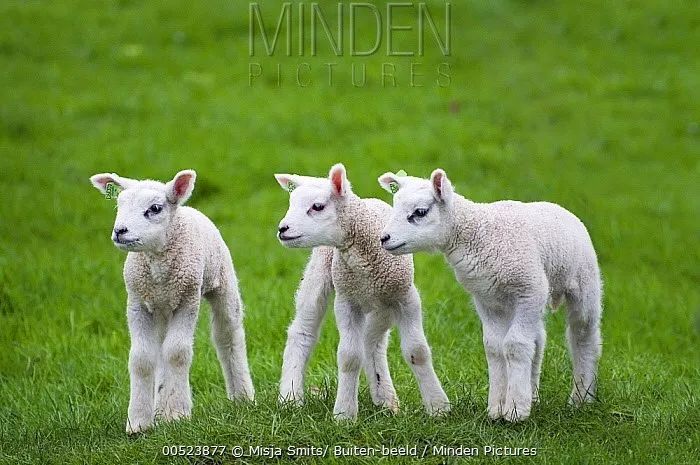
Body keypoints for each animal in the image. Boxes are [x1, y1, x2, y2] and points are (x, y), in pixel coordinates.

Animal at [89, 169, 254, 432]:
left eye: (155, 208)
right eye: (119, 204)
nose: (120, 231)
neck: (158, 267)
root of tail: (190, 209)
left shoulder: (187, 300)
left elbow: (177, 353)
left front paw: (177, 414)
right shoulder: (137, 304)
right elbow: (142, 358)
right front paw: (139, 422)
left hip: (221, 282)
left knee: (227, 335)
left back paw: (242, 397)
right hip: (160, 309)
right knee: (160, 351)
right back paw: (159, 409)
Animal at [274, 164, 448, 420]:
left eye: (318, 206)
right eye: (291, 203)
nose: (282, 229)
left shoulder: (405, 297)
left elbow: (417, 351)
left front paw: (438, 407)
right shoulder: (346, 300)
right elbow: (349, 357)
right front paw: (344, 413)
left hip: (383, 303)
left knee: (372, 341)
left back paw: (385, 397)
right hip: (320, 270)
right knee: (302, 332)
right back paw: (291, 397)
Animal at [378, 169, 600, 420]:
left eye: (420, 212)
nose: (384, 238)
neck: (478, 234)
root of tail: (559, 208)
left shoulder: (531, 289)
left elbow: (515, 345)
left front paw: (515, 410)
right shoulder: (486, 299)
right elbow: (494, 347)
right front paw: (497, 407)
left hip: (583, 282)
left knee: (583, 335)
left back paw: (581, 398)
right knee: (538, 340)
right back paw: (532, 394)